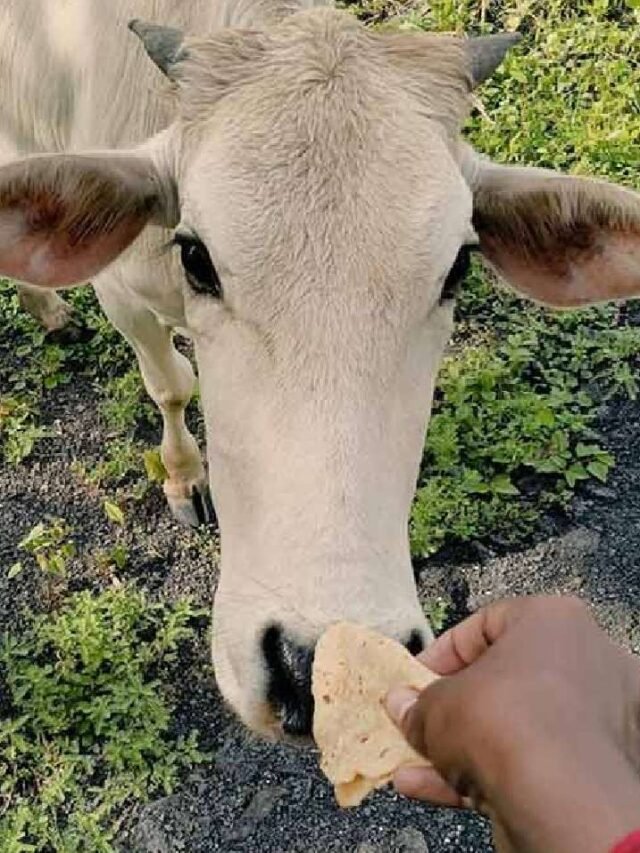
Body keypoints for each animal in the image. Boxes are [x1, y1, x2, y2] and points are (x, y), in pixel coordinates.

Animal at [1, 1, 639, 738]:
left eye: (458, 266)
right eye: (194, 256)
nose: (317, 668)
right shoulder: (123, 295)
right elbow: (172, 385)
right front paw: (186, 476)